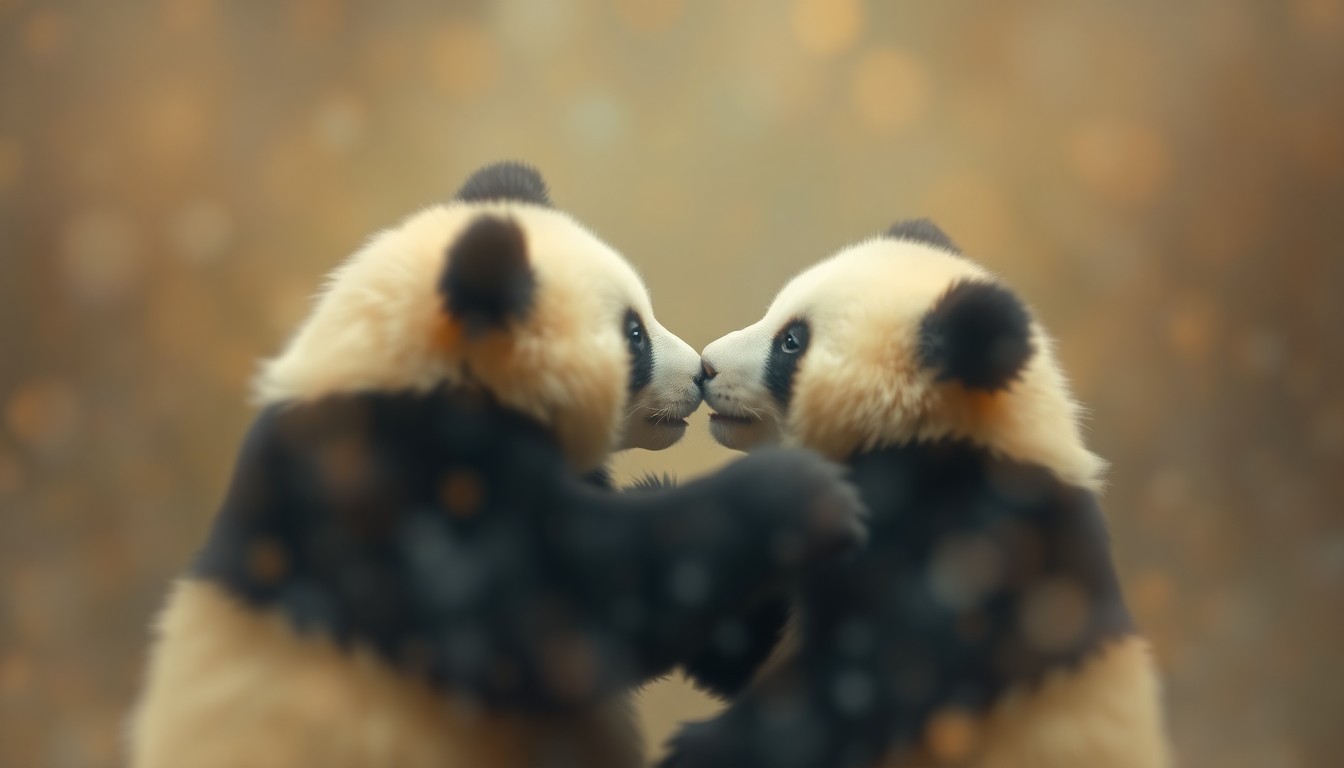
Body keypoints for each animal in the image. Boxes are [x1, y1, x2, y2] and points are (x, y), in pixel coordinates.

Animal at [660, 219, 1171, 768]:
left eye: (792, 342)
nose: (706, 367)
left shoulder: (981, 546)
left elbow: (875, 681)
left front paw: (698, 749)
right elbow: (736, 643)